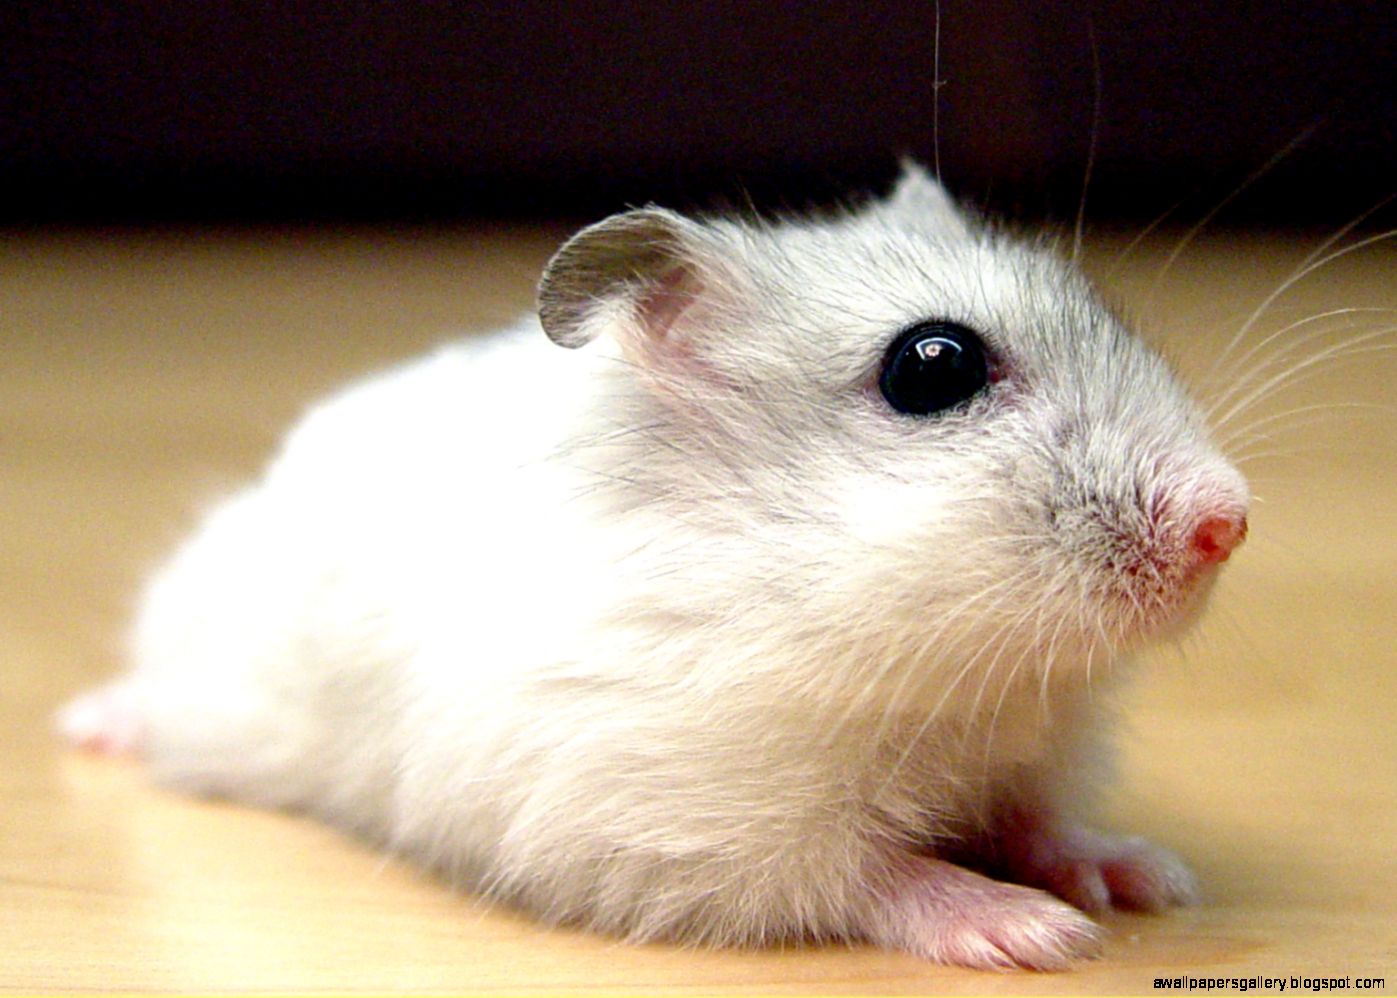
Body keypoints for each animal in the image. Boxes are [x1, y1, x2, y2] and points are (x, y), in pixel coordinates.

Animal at [58, 163, 1249, 970]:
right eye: (932, 366)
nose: (1228, 521)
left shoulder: (1033, 750)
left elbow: (1039, 821)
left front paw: (1146, 878)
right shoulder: (686, 825)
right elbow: (876, 871)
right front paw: (1037, 933)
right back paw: (91, 726)